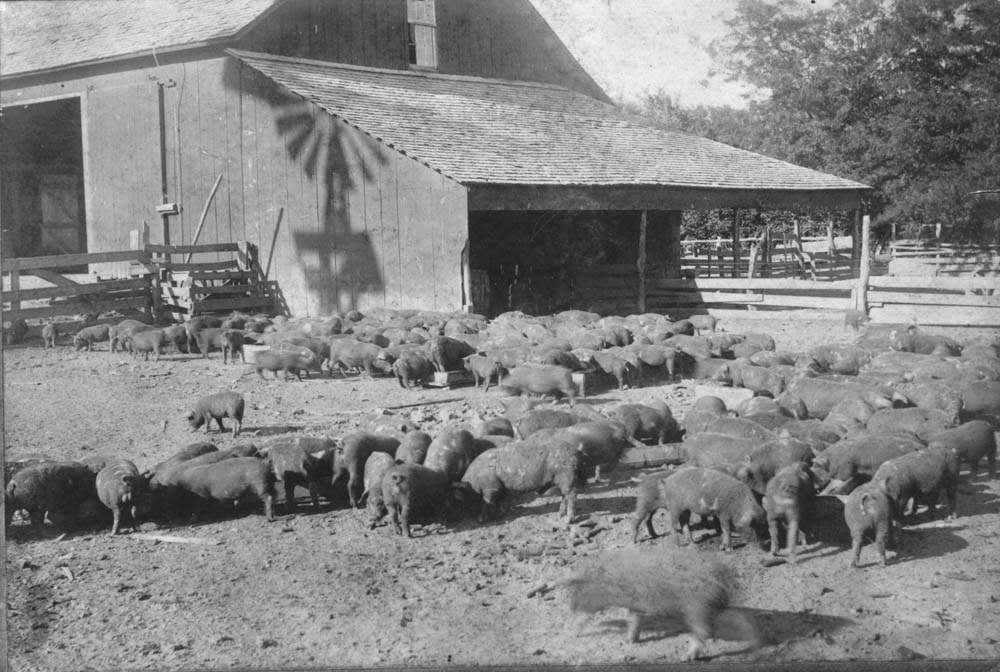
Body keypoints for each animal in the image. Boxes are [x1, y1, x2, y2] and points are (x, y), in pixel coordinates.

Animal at [560, 552, 760, 660]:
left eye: (576, 590)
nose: (571, 607)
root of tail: (725, 583)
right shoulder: (636, 604)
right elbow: (633, 621)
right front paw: (630, 641)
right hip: (711, 609)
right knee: (733, 623)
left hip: (697, 609)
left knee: (702, 632)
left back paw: (686, 657)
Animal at [632, 468, 764, 552]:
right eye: (754, 526)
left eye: (764, 525)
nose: (763, 545)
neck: (739, 503)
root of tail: (666, 481)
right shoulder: (723, 513)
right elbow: (726, 529)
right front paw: (729, 549)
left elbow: (723, 528)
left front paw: (723, 546)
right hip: (662, 504)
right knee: (667, 523)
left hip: (681, 509)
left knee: (681, 523)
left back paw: (691, 543)